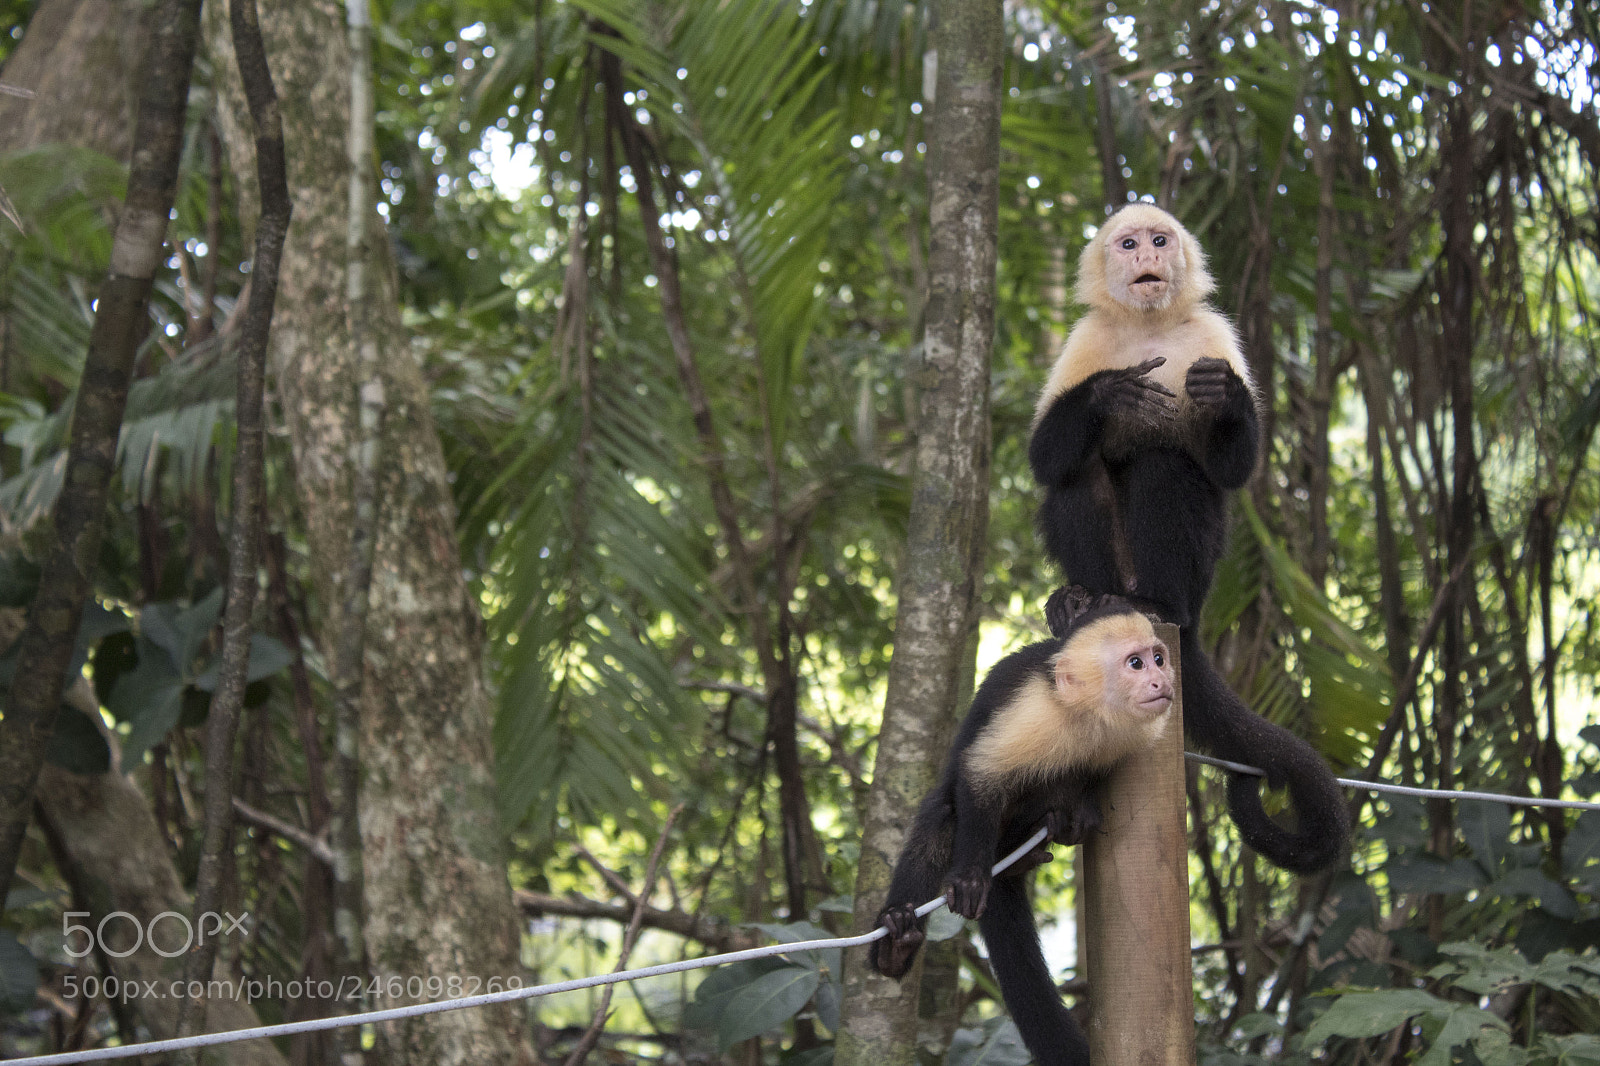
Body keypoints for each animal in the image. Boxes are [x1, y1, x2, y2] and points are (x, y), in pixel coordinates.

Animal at [869, 604, 1176, 1066]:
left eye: (1158, 658)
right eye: (1135, 664)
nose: (1162, 680)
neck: (1085, 712)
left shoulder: (1133, 732)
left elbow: (1094, 771)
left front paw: (1081, 810)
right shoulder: (1034, 711)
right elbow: (980, 776)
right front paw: (970, 877)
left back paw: (1041, 835)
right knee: (943, 818)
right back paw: (897, 944)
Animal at [1029, 202, 1348, 875]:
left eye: (1160, 238)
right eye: (1128, 244)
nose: (1149, 255)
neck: (1149, 326)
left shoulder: (1213, 336)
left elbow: (1232, 468)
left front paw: (1224, 397)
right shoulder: (1086, 340)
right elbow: (1046, 457)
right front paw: (1110, 393)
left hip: (1199, 575)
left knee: (1166, 463)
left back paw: (1156, 600)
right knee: (1080, 469)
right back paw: (1084, 599)